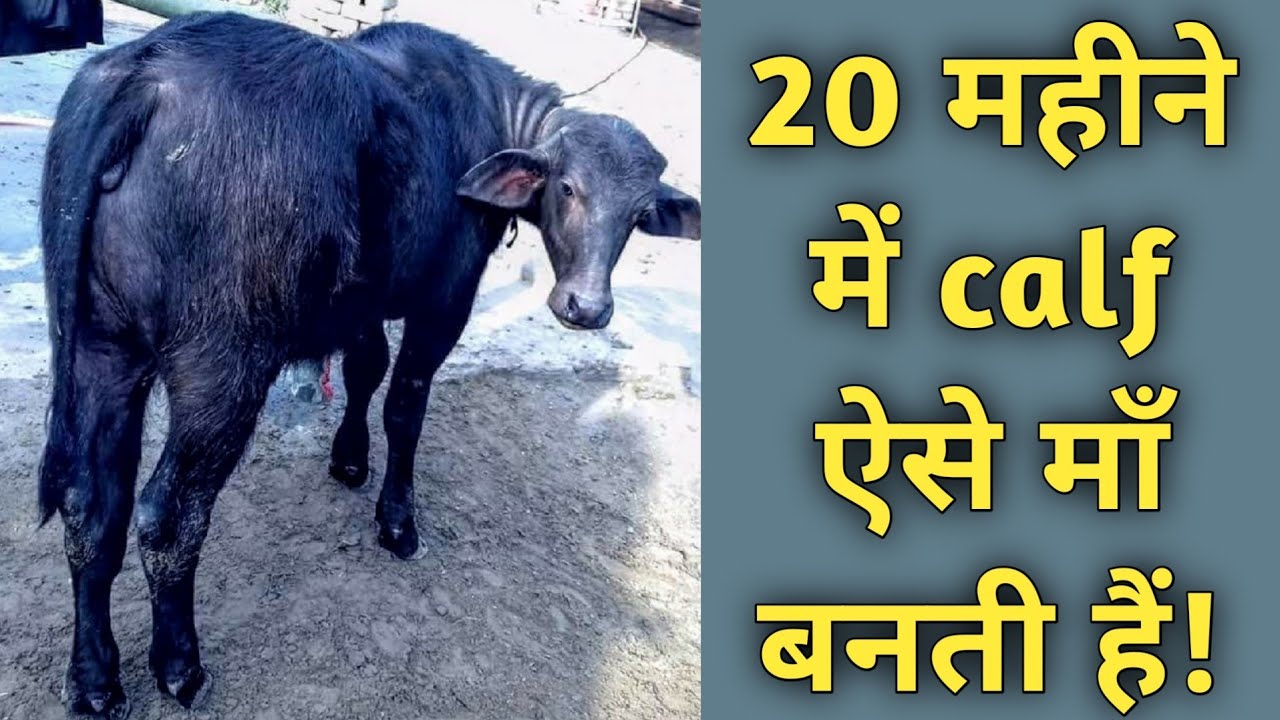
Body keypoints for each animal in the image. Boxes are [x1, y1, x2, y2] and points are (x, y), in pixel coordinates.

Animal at [38, 11, 700, 718]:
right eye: (569, 188)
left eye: (638, 214)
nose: (587, 307)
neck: (482, 120)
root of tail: (145, 71)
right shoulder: (444, 302)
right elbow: (404, 403)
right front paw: (397, 521)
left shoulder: (361, 302)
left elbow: (364, 369)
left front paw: (349, 459)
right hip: (219, 367)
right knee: (167, 516)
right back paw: (180, 665)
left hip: (98, 346)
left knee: (90, 506)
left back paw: (94, 679)